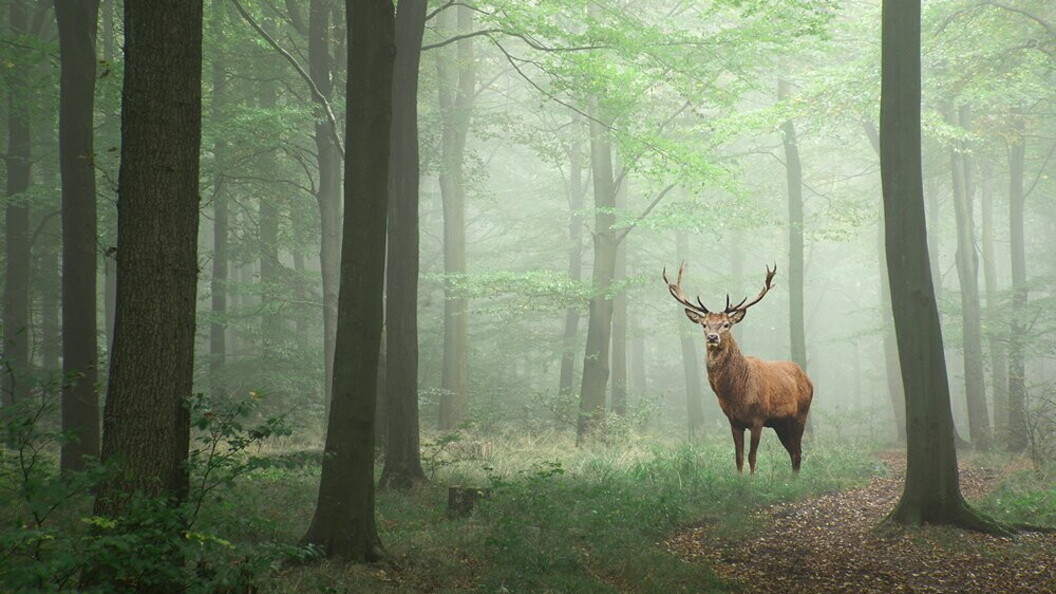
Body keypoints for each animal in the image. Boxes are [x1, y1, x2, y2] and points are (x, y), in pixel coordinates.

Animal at [664, 263, 813, 473]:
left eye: (726, 324)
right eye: (704, 324)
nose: (712, 337)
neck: (738, 394)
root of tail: (808, 379)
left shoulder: (758, 418)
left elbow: (752, 457)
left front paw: (751, 479)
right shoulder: (733, 421)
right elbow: (739, 457)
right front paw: (739, 478)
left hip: (801, 414)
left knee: (798, 452)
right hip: (780, 423)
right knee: (793, 452)